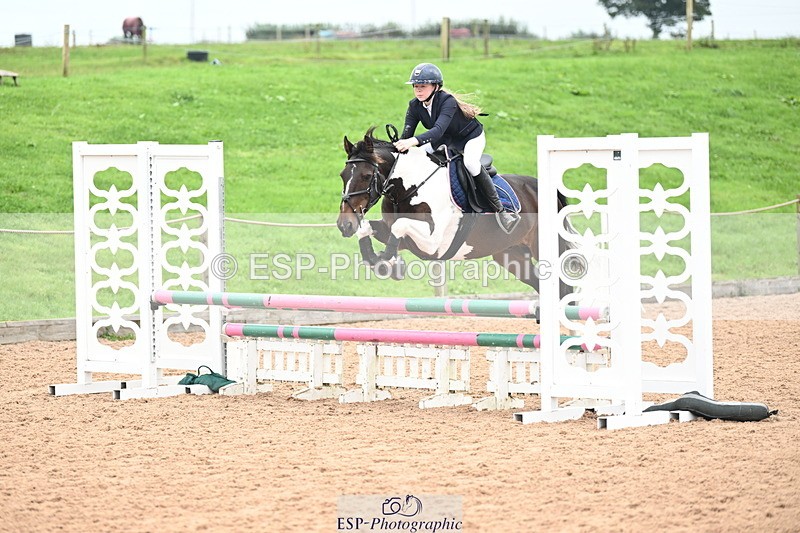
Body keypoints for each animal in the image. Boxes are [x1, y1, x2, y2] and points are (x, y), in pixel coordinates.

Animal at [337, 127, 575, 297]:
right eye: (342, 175)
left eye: (367, 176)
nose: (344, 224)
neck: (408, 188)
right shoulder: (400, 235)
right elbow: (370, 229)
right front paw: (384, 263)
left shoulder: (433, 243)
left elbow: (400, 225)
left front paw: (388, 261)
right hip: (511, 254)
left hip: (543, 248)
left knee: (563, 288)